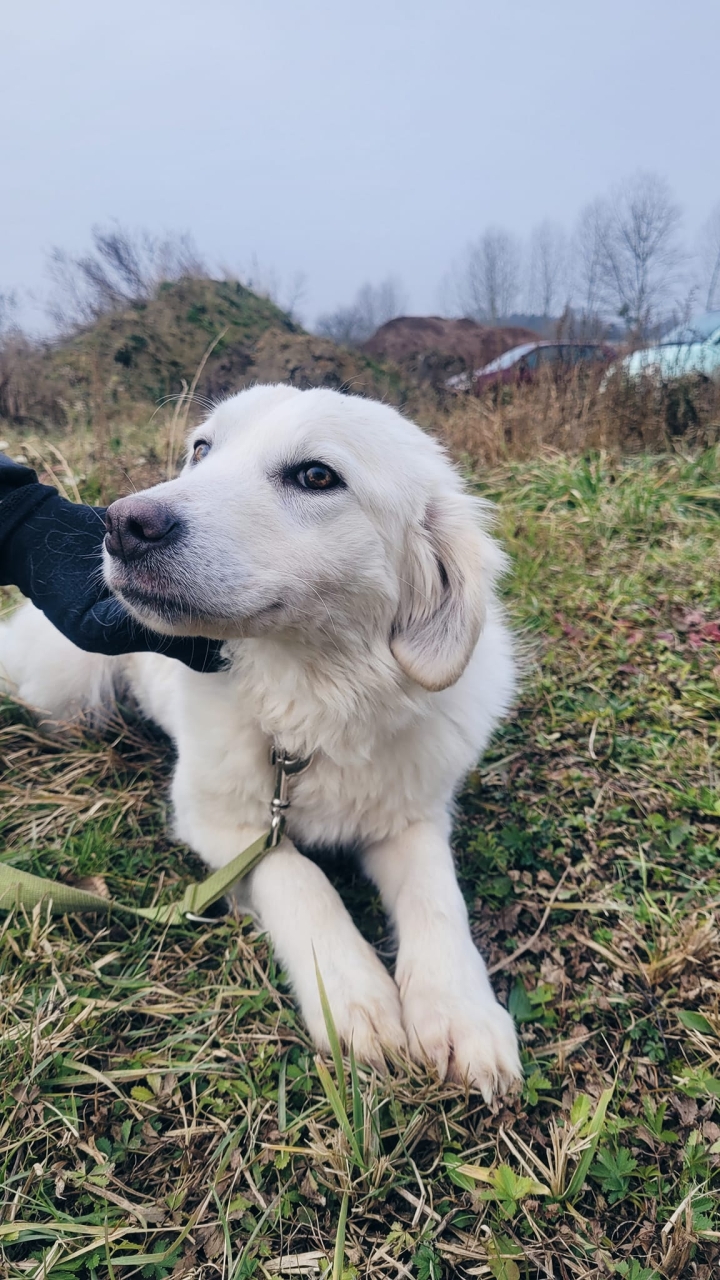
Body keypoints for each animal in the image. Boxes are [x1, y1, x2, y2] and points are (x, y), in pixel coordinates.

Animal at [0, 381, 517, 1100]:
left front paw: (462, 1013)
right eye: (202, 450)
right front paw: (353, 997)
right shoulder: (221, 823)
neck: (311, 714)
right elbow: (302, 880)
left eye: (317, 476)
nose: (124, 523)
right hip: (65, 680)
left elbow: (439, 899)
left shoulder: (410, 817)